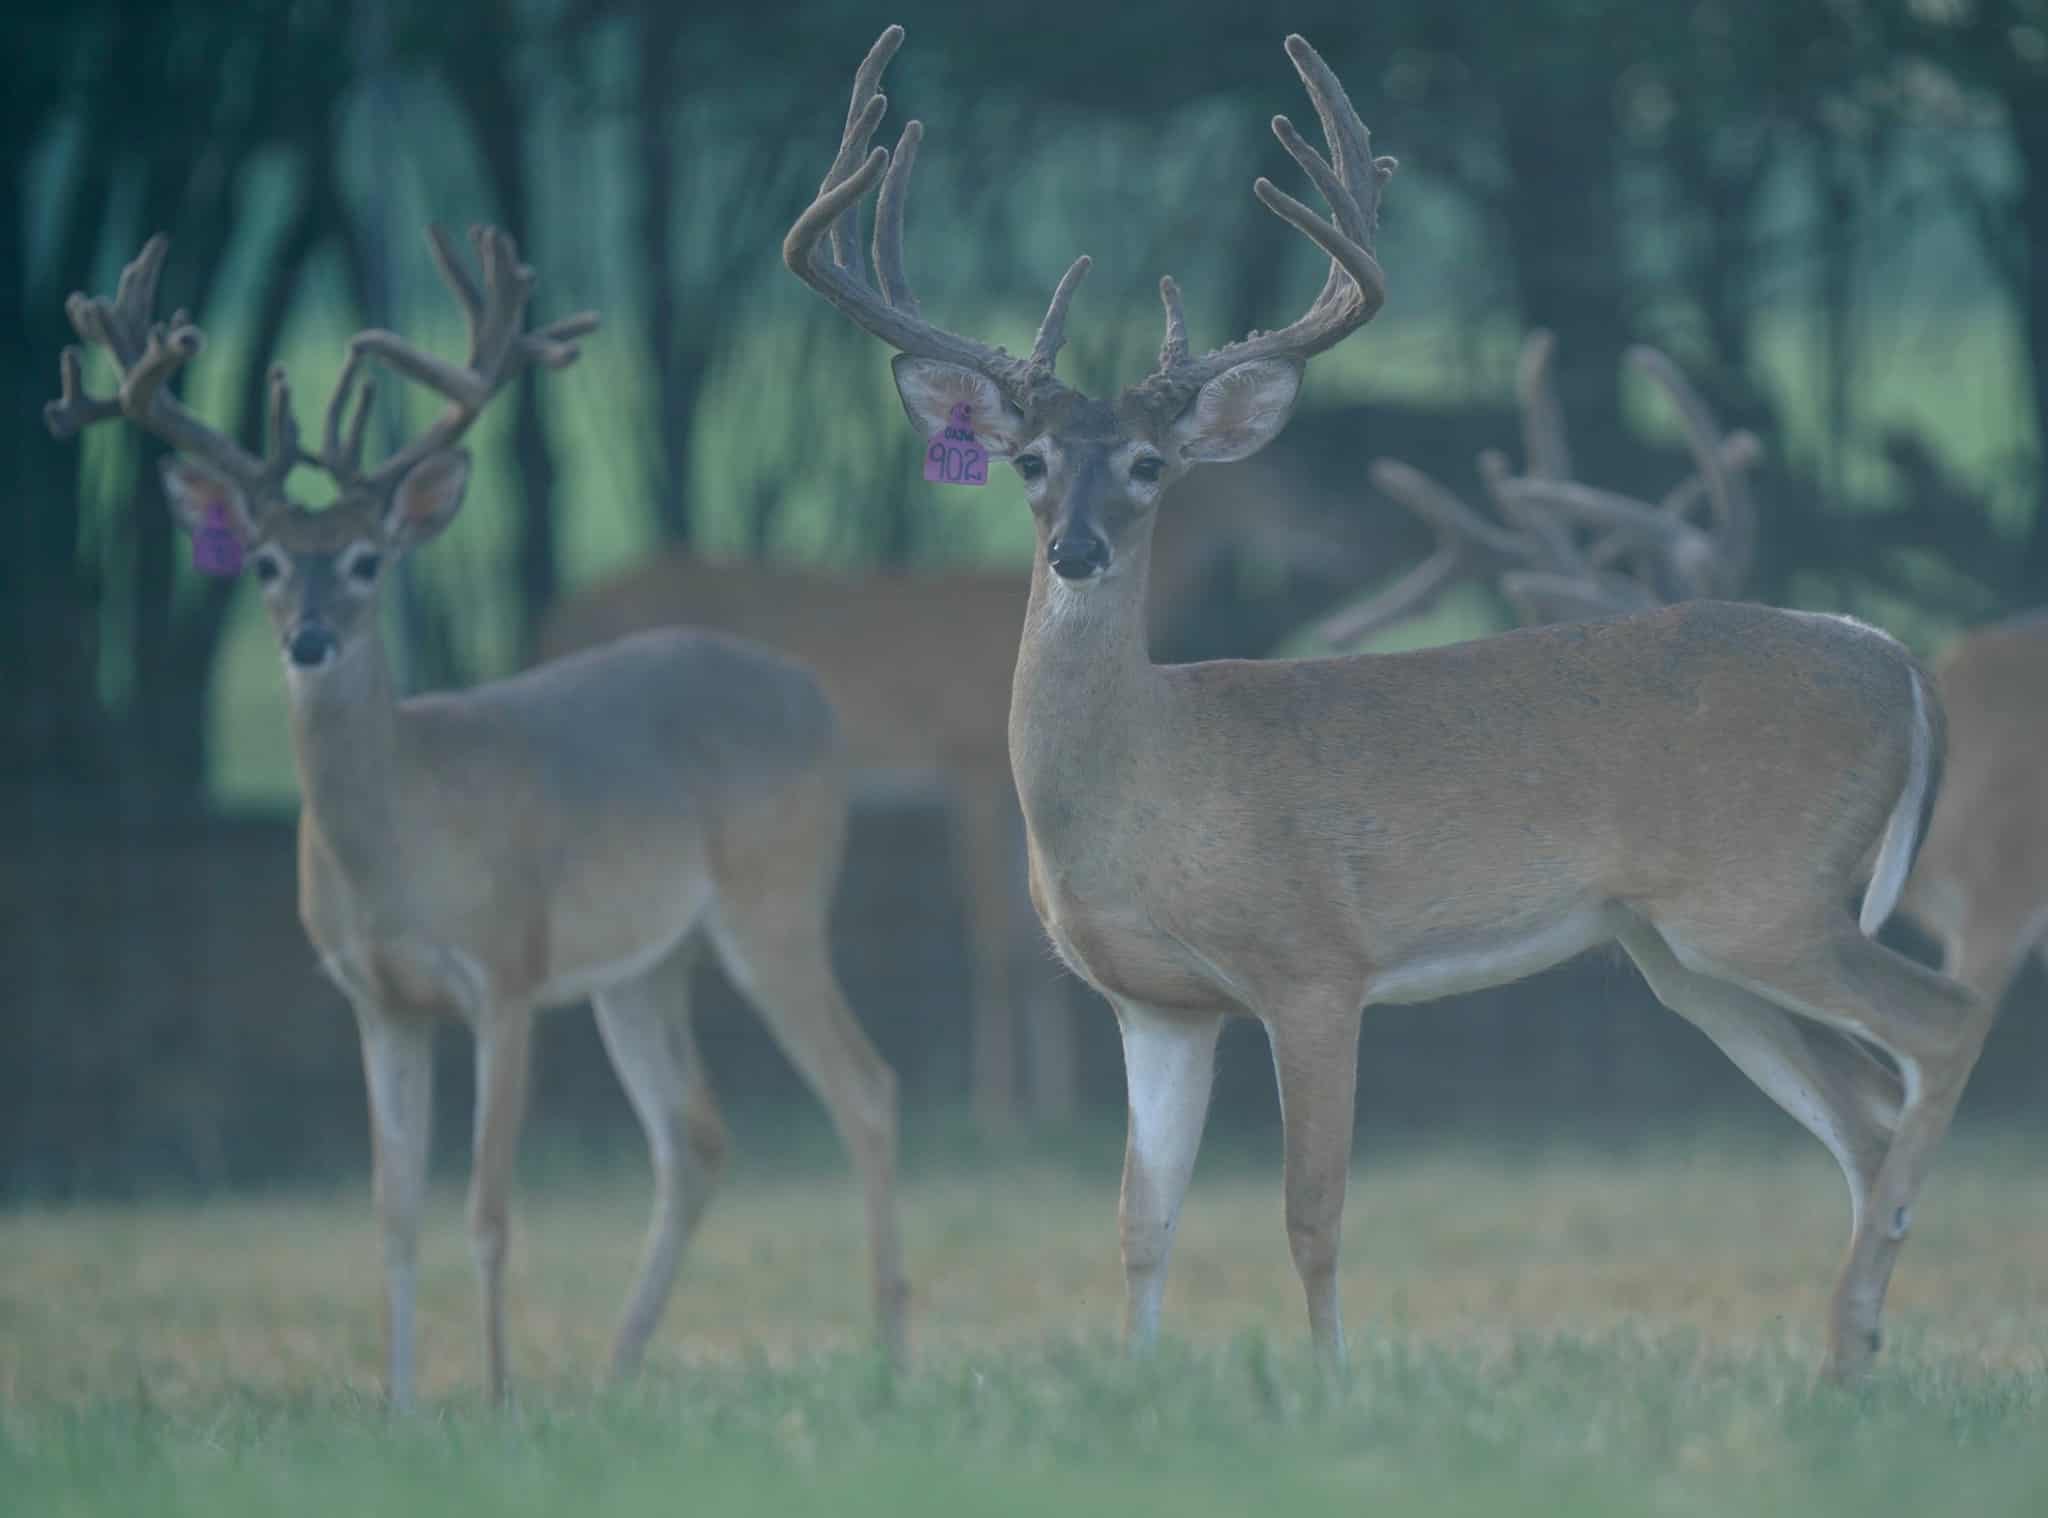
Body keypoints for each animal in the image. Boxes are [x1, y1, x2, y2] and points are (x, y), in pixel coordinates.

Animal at [43, 226, 907, 1408]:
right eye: (266, 562)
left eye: (367, 561)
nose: (309, 639)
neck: (400, 842)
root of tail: (815, 695)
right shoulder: (376, 1000)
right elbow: (392, 1212)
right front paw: (401, 1406)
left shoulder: (504, 971)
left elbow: (486, 1209)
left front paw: (495, 1399)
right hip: (645, 964)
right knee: (694, 1136)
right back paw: (616, 1371)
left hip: (775, 902)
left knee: (865, 1090)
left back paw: (892, 1350)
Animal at [788, 25, 1986, 1383]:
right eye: (1030, 461)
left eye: (1150, 464)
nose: (1077, 550)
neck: (1148, 782)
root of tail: (1893, 660)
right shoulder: (1155, 1004)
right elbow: (1140, 1220)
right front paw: (1139, 1382)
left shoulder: (1314, 961)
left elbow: (1310, 1211)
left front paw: (1327, 1384)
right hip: (1686, 950)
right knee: (1864, 1109)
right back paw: (1846, 1359)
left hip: (1762, 897)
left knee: (1942, 1024)